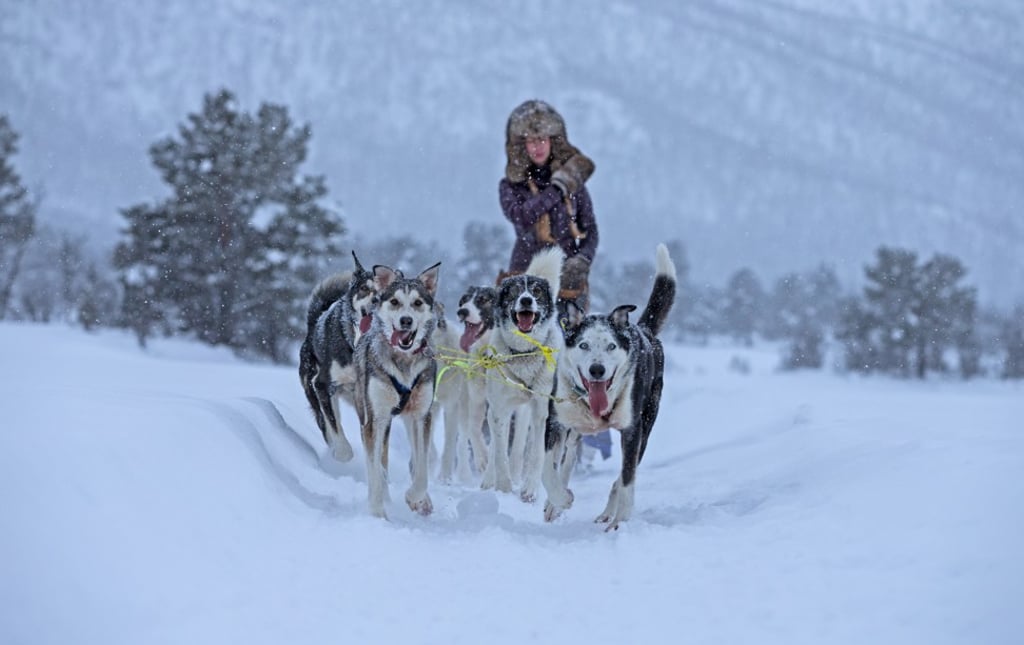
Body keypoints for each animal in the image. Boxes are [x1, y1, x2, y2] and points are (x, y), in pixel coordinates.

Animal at [299, 249, 378, 462]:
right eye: (364, 288)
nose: (376, 300)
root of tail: (314, 322)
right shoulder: (321, 385)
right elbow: (334, 426)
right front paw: (343, 452)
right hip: (316, 389)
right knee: (325, 422)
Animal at [354, 260, 442, 518]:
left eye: (417, 303)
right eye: (394, 302)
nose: (406, 321)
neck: (403, 361)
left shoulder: (422, 415)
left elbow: (421, 469)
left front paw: (415, 498)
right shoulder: (375, 419)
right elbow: (375, 470)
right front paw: (377, 513)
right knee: (375, 464)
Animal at [483, 248, 565, 505]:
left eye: (536, 291)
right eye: (516, 290)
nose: (527, 300)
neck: (523, 352)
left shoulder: (541, 410)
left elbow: (536, 452)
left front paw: (529, 489)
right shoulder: (499, 409)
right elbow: (500, 452)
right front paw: (503, 485)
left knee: (521, 447)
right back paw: (489, 479)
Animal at [540, 242, 675, 532]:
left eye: (611, 346)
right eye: (584, 345)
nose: (597, 370)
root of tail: (643, 329)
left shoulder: (632, 430)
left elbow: (626, 480)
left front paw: (620, 521)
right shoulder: (555, 422)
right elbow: (548, 469)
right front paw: (560, 499)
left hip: (646, 424)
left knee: (623, 474)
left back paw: (608, 514)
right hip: (574, 426)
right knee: (568, 457)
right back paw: (555, 504)